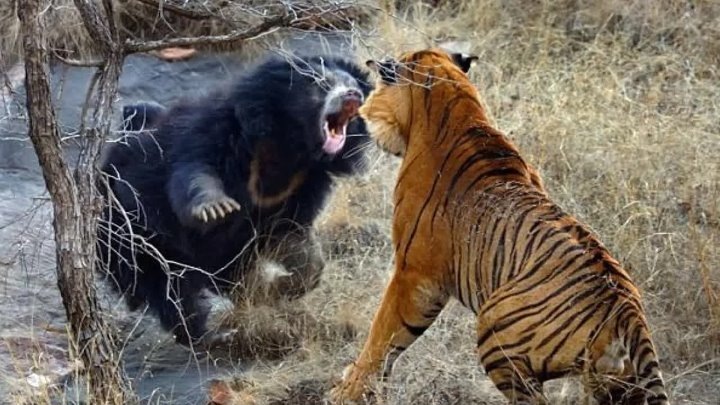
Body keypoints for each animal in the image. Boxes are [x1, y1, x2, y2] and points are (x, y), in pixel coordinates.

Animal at [96, 53, 373, 348]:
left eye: (353, 85)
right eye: (322, 84)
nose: (353, 96)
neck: (291, 146)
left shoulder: (302, 185)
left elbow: (292, 238)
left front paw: (279, 288)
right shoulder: (216, 132)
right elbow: (195, 171)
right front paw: (216, 208)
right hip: (132, 237)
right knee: (170, 291)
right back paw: (208, 334)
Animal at [328, 48, 670, 405]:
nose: (361, 111)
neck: (457, 107)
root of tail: (629, 315)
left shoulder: (415, 275)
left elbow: (383, 334)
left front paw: (347, 390)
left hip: (496, 331)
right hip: (616, 384)